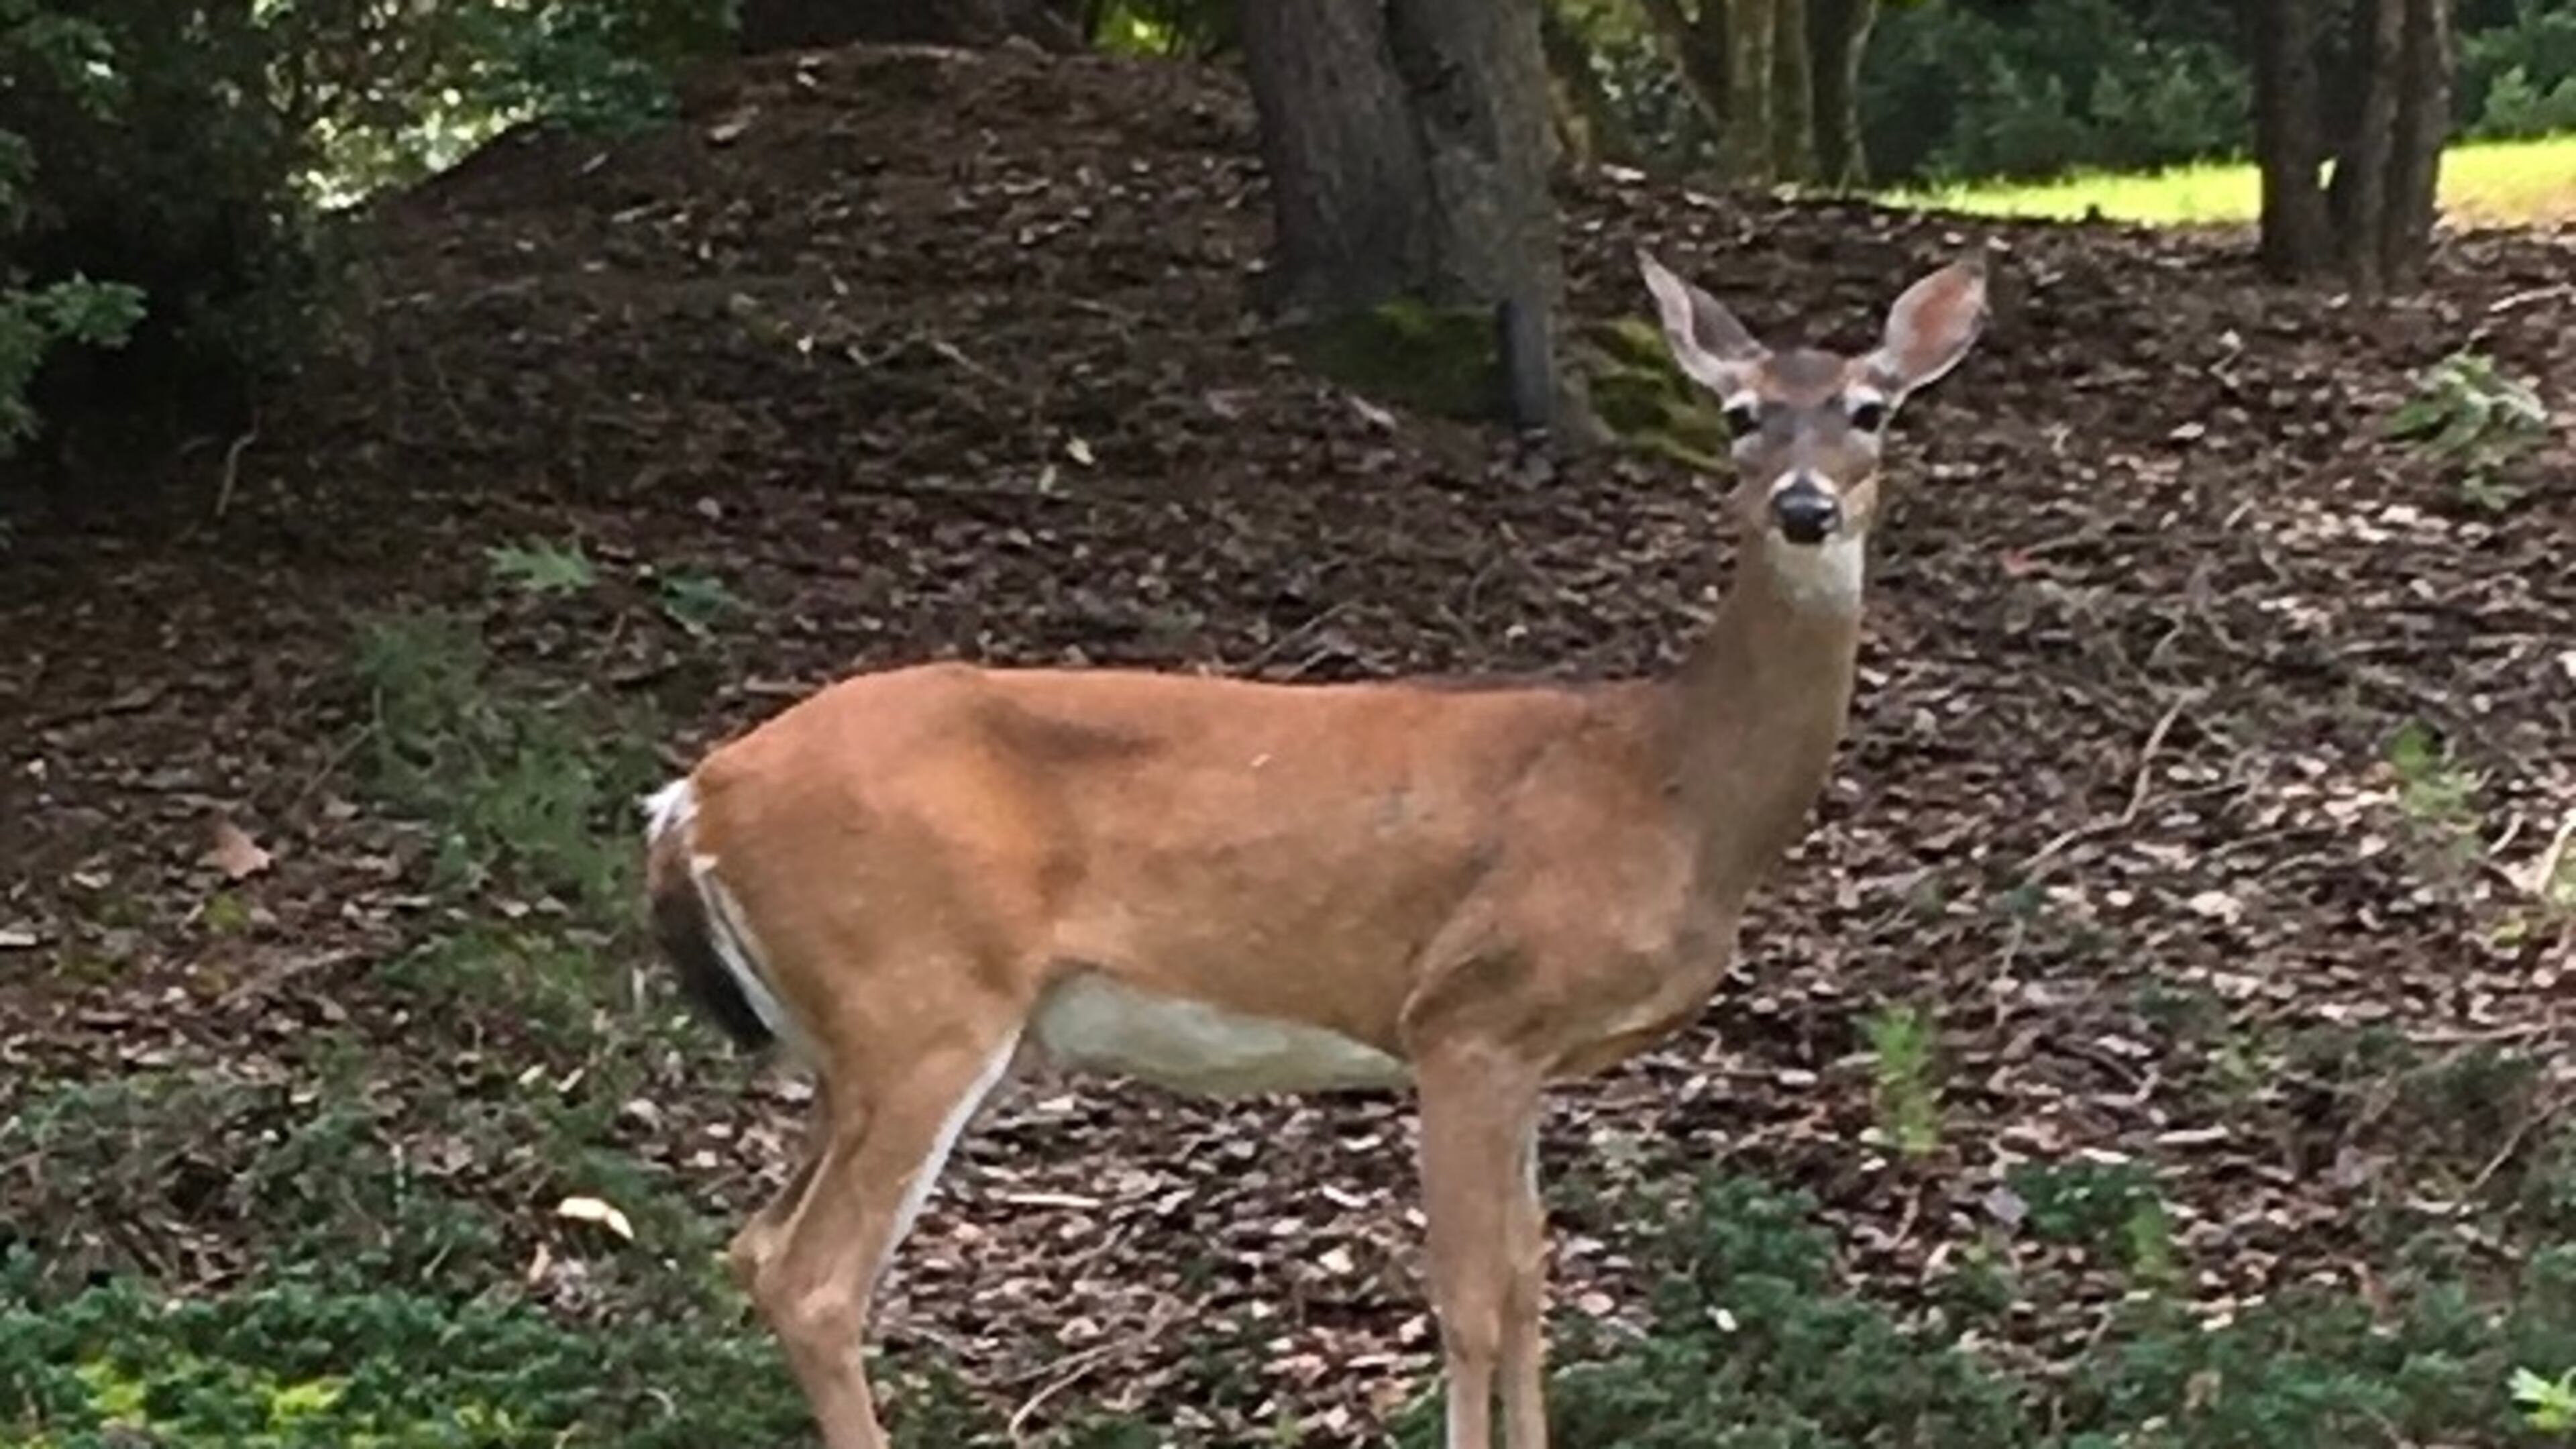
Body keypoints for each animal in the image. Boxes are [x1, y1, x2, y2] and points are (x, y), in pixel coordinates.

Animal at [640, 247, 1988, 1449]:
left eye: (1870, 408)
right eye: (1739, 414)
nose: (1805, 508)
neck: (1670, 785)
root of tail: (688, 800)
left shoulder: (1531, 1055)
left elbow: (1533, 1283)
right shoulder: (1467, 1014)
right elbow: (1470, 1301)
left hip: (848, 1040)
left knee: (754, 1248)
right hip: (918, 995)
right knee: (818, 1277)